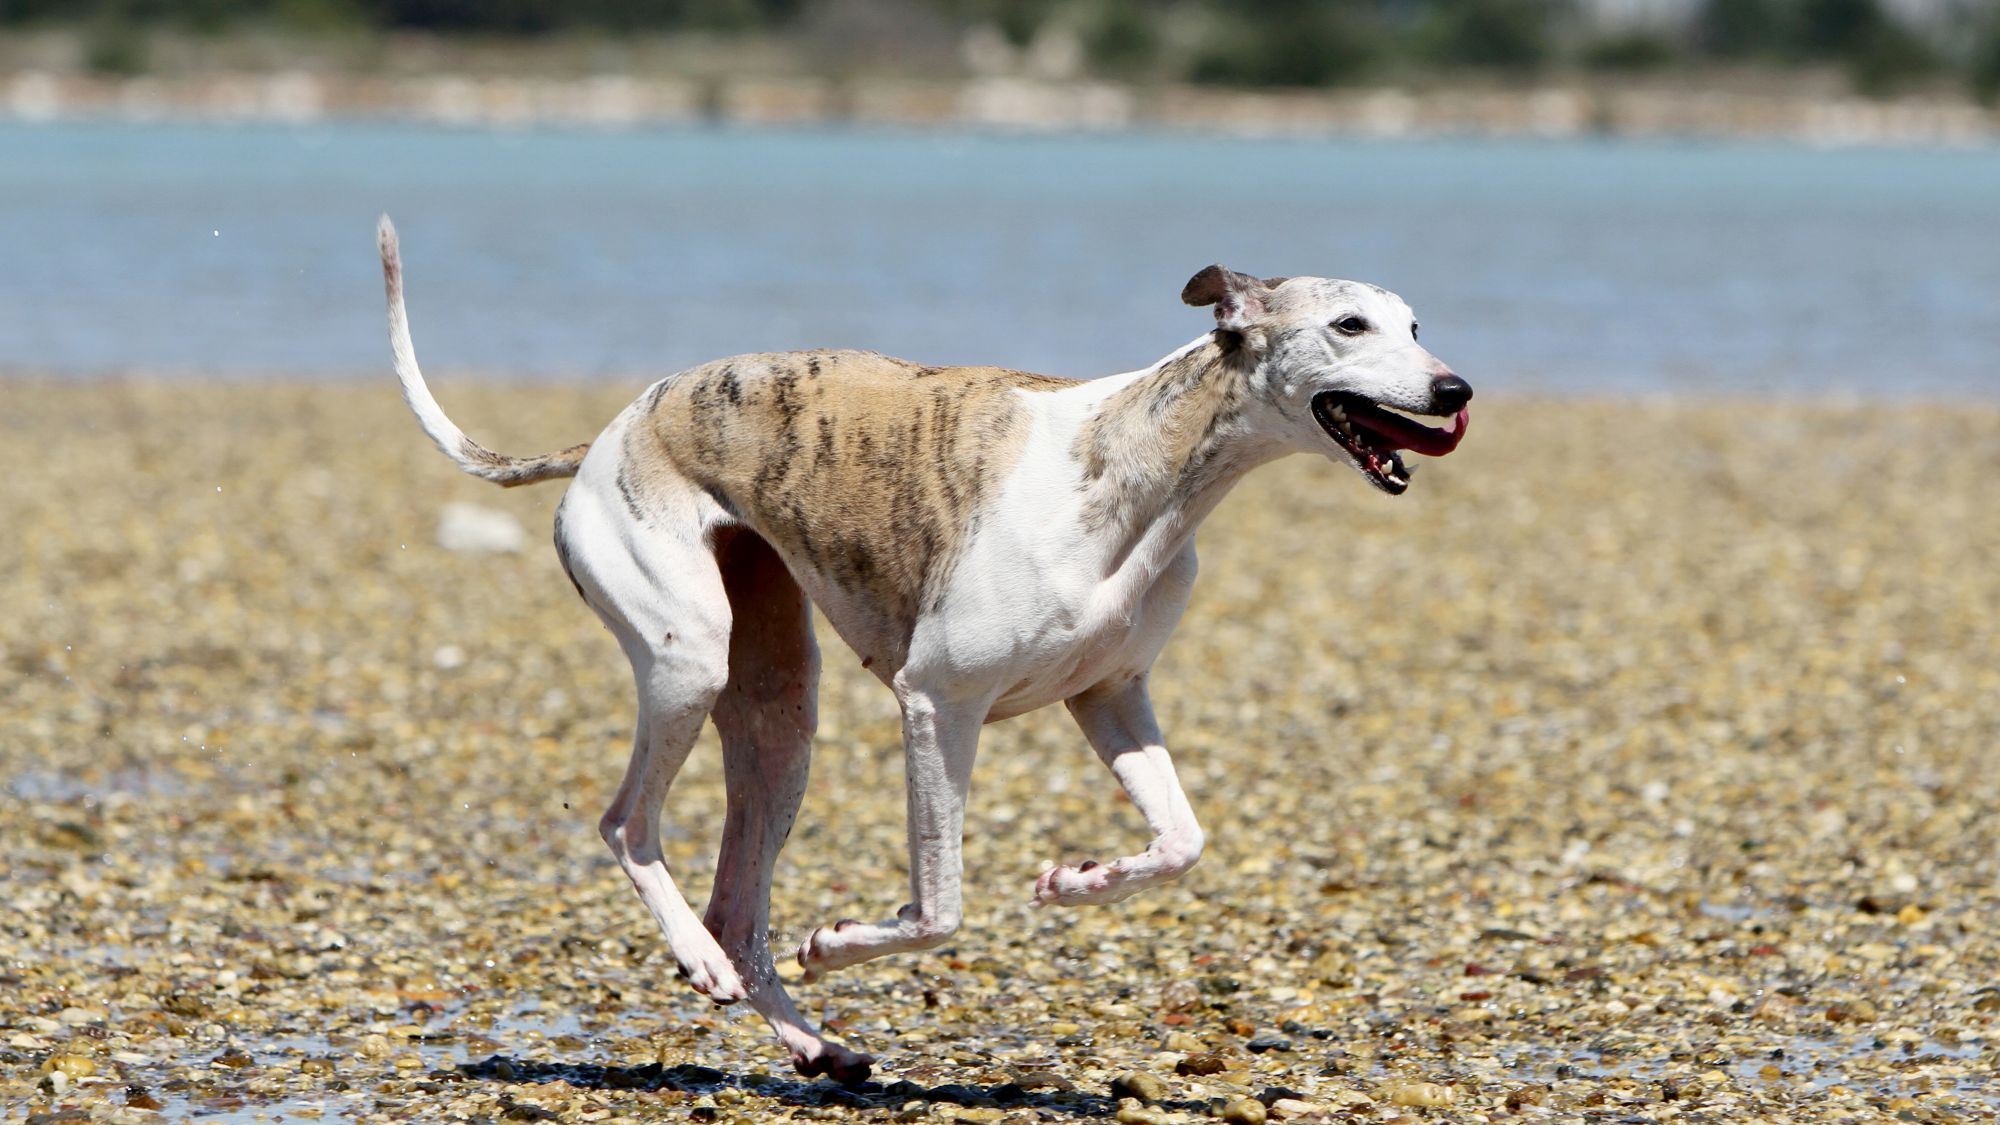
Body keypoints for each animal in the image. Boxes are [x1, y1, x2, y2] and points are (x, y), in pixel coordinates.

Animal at [376, 212, 1472, 1080]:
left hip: (779, 710)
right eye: (1348, 324)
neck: (1136, 467)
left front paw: (1077, 881)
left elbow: (1181, 842)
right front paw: (836, 941)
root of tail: (603, 437)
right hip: (690, 659)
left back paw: (812, 1042)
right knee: (626, 824)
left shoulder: (1111, 693)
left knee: (739, 902)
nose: (1455, 389)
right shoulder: (937, 703)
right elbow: (940, 908)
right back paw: (704, 961)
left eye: (1416, 325)